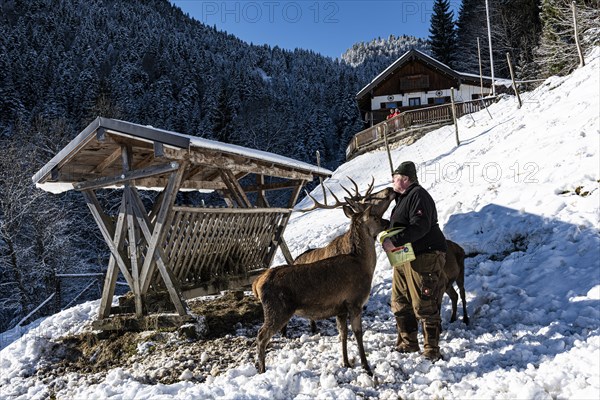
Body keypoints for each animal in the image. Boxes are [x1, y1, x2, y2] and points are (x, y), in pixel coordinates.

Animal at [252, 202, 384, 376]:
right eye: (375, 217)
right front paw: (366, 367)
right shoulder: (355, 302)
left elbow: (343, 334)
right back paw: (262, 370)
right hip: (277, 309)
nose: (388, 221)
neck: (364, 265)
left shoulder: (341, 309)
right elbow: (358, 334)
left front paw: (346, 362)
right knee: (261, 336)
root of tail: (257, 283)